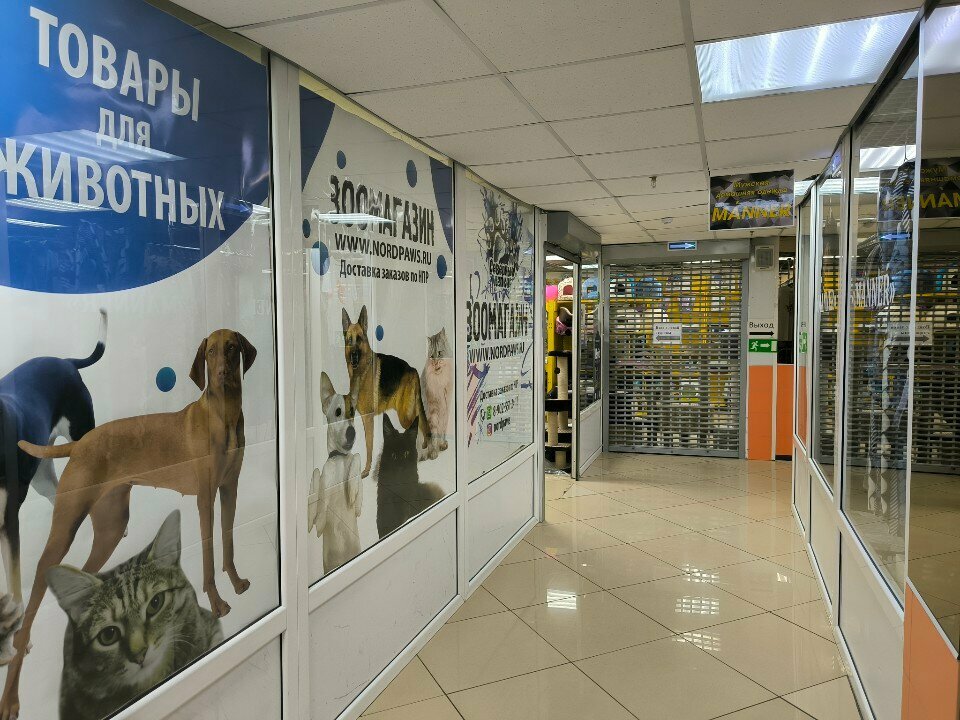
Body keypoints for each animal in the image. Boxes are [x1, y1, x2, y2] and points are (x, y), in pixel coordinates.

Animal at [308, 372, 363, 574]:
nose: (352, 432)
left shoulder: (358, 510)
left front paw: (352, 489)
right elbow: (317, 475)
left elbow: (357, 456)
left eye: (353, 412)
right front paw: (320, 518)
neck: (339, 459)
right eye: (338, 412)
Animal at [342, 306, 431, 477]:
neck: (362, 371)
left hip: (404, 414)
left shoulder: (368, 418)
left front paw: (367, 470)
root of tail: (413, 369)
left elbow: (369, 446)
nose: (354, 357)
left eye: (360, 339)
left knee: (417, 425)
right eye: (349, 340)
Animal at [419, 327, 453, 460]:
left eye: (439, 353)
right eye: (431, 356)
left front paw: (443, 444)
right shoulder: (432, 411)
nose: (434, 363)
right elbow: (434, 434)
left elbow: (442, 430)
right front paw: (433, 452)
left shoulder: (446, 408)